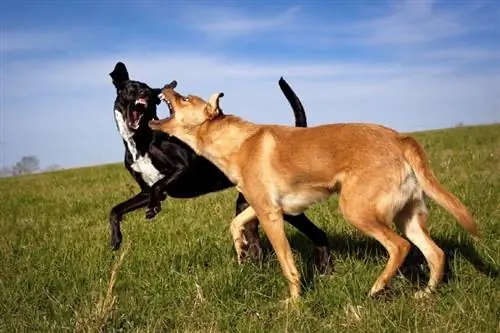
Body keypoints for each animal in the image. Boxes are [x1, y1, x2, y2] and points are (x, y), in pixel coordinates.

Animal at [109, 61, 332, 270]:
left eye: (147, 89)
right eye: (130, 88)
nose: (146, 93)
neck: (140, 140)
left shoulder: (183, 170)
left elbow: (159, 185)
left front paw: (153, 208)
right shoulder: (144, 191)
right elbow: (115, 209)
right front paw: (115, 238)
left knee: (318, 235)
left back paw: (323, 269)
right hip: (247, 205)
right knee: (254, 245)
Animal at [148, 84, 476, 300]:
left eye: (185, 97)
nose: (166, 85)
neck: (236, 143)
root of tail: (400, 138)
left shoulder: (271, 215)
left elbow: (287, 264)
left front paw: (294, 302)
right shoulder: (266, 206)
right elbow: (236, 223)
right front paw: (241, 247)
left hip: (357, 211)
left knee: (400, 247)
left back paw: (376, 288)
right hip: (407, 217)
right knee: (436, 253)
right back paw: (425, 295)